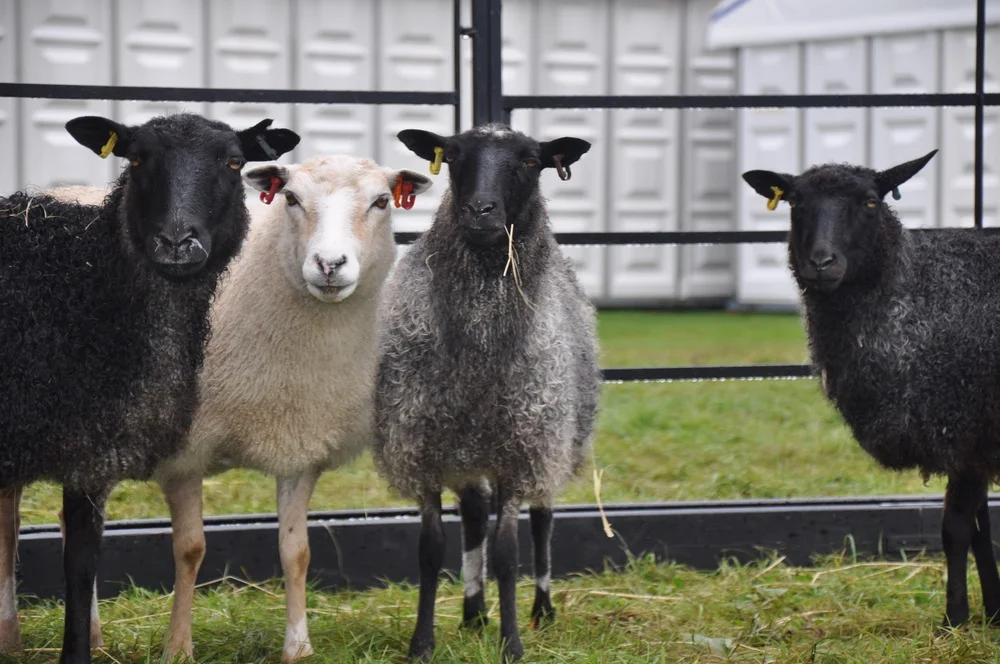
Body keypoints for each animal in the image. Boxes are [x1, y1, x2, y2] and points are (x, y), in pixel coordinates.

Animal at [0, 112, 299, 664]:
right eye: (136, 158)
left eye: (233, 162)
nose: (177, 242)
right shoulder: (84, 446)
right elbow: (79, 563)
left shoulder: (93, 452)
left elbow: (83, 559)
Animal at [373, 123, 602, 662]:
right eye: (454, 157)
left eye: (530, 162)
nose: (480, 210)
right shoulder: (424, 447)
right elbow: (430, 550)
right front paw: (422, 643)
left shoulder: (520, 450)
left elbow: (507, 553)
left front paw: (512, 643)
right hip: (466, 447)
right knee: (475, 514)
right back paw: (474, 613)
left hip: (549, 438)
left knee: (543, 520)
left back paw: (542, 609)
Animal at [741, 150, 1000, 631]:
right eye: (795, 202)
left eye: (869, 202)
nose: (821, 263)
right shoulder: (972, 443)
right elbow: (981, 529)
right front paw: (993, 611)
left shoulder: (967, 426)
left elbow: (956, 530)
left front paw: (954, 619)